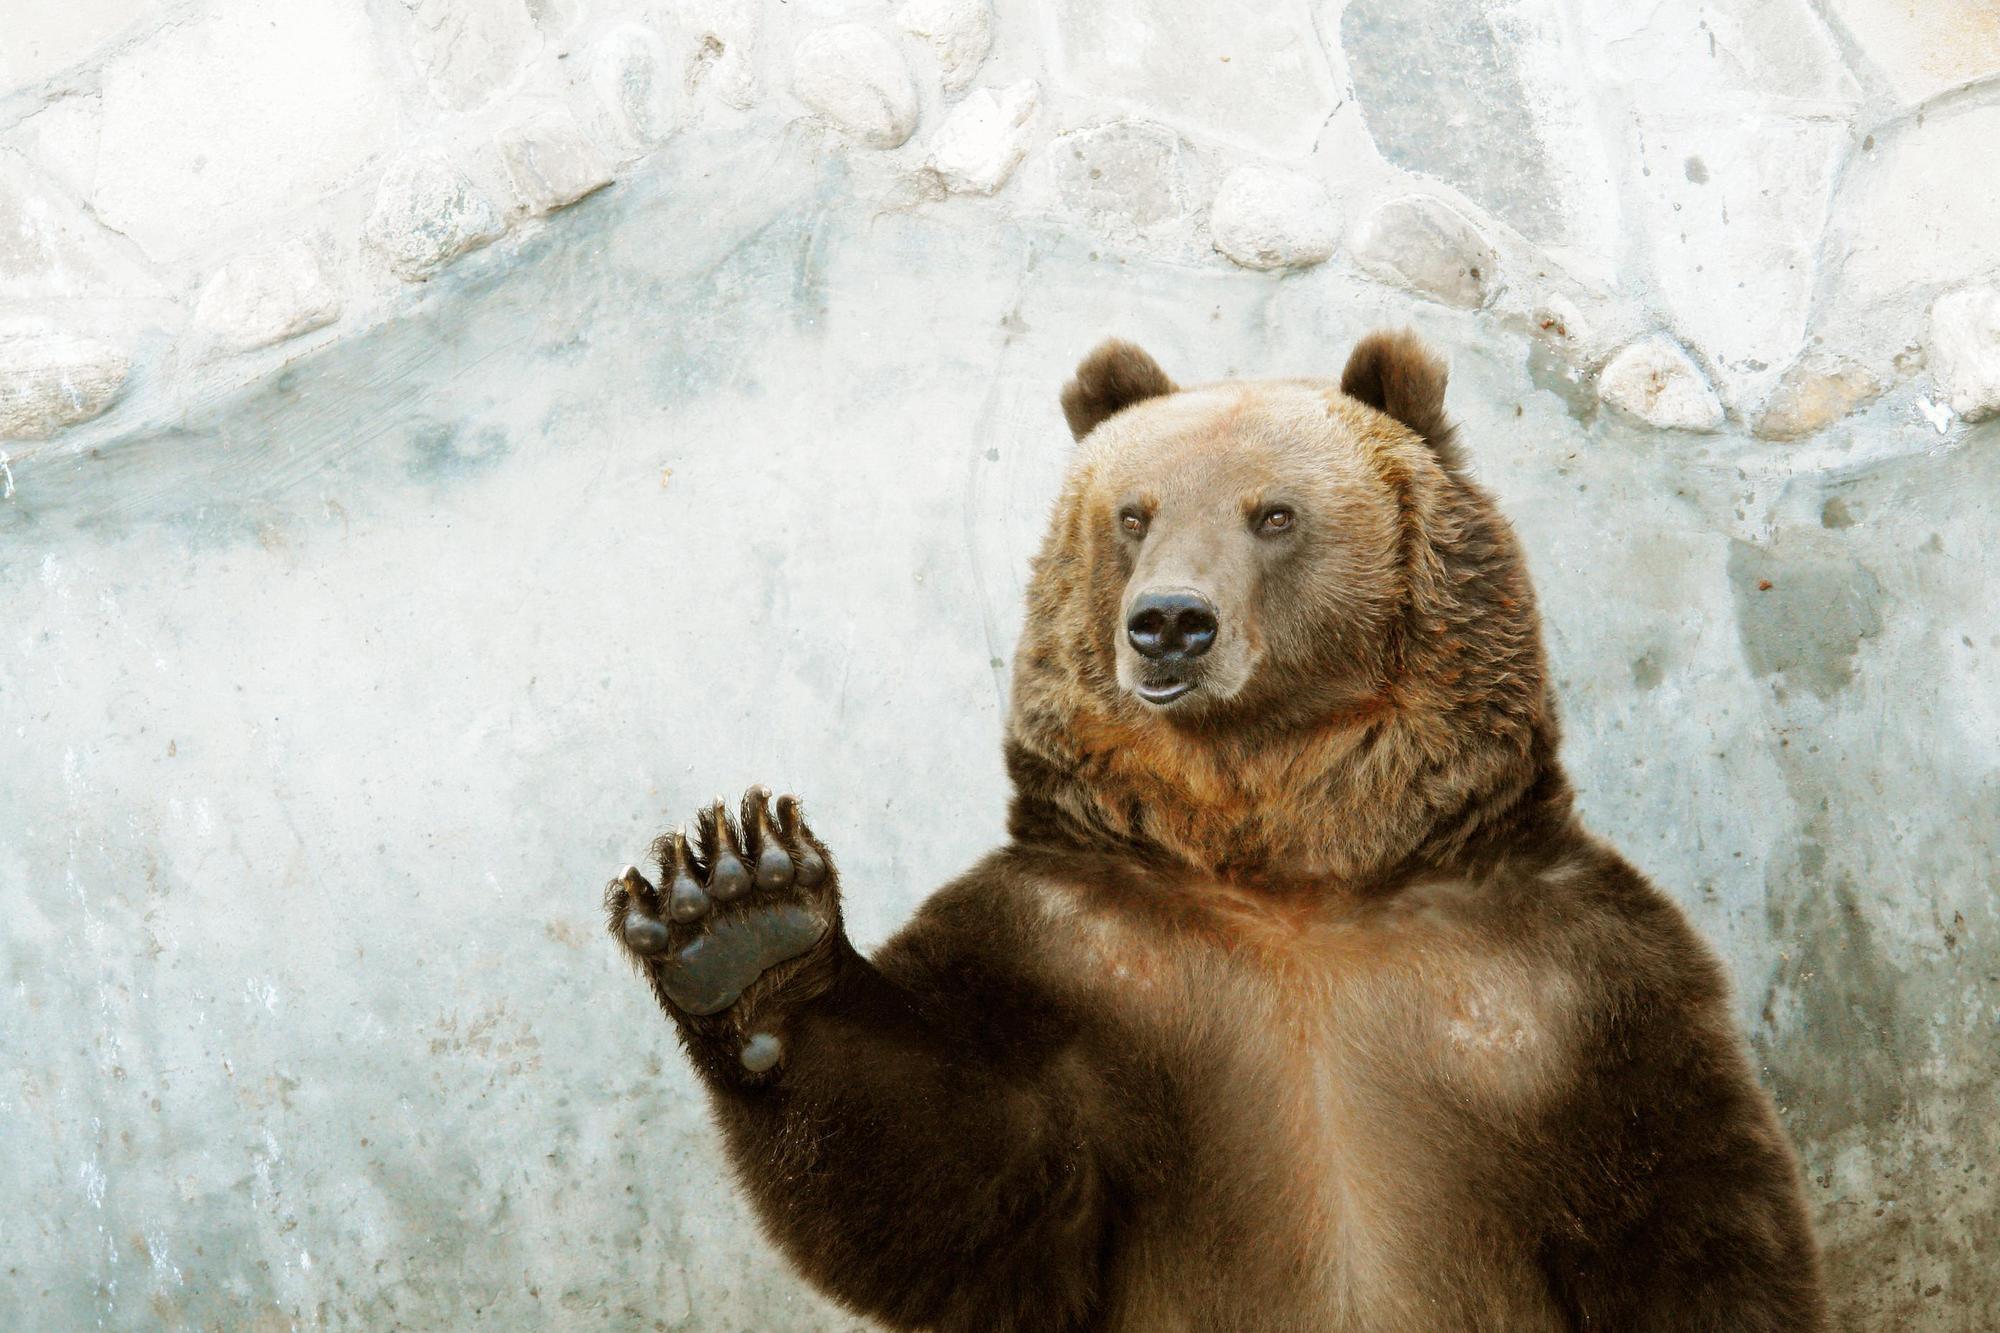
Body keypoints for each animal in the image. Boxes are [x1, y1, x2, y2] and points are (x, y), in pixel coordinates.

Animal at [604, 331, 1827, 1331]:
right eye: (1134, 512)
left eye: (1273, 513)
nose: (1169, 623)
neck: (1290, 857)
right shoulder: (1078, 957)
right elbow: (956, 1174)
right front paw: (737, 911)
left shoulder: (1560, 986)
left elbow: (1690, 1219)